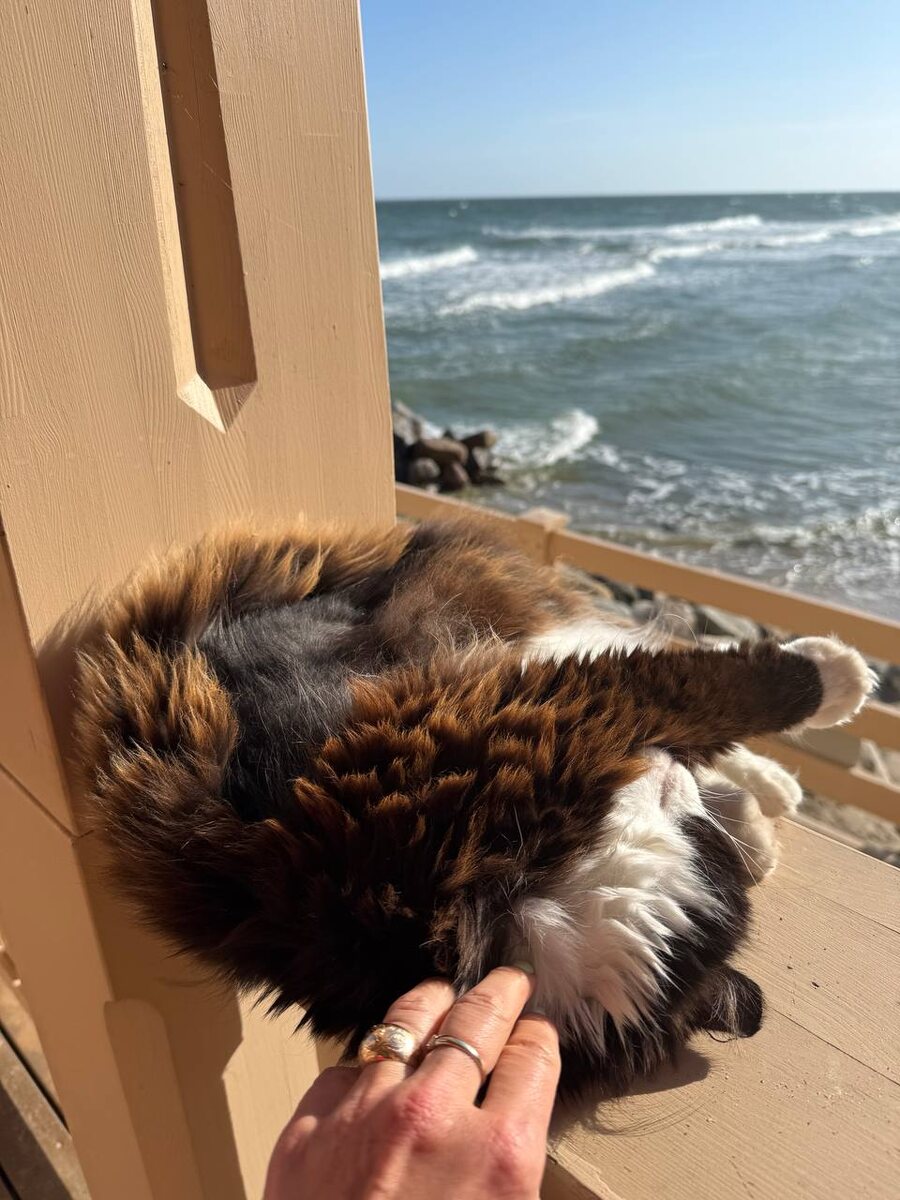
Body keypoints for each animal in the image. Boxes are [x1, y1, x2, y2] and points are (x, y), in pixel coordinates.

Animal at [74, 517, 874, 1097]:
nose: (675, 786)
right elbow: (737, 689)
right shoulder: (573, 711)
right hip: (498, 651)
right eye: (698, 841)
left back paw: (768, 798)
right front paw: (841, 673)